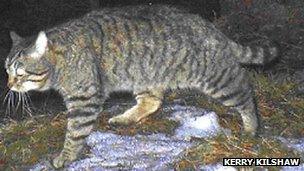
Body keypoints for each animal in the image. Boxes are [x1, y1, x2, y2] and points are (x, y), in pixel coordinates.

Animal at [4, 4, 280, 168]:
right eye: (6, 71)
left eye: (20, 74)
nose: (9, 86)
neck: (60, 57)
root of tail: (209, 27)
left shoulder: (84, 100)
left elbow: (75, 132)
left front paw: (66, 156)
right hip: (144, 74)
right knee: (152, 101)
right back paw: (127, 116)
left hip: (214, 77)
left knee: (243, 88)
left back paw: (251, 125)